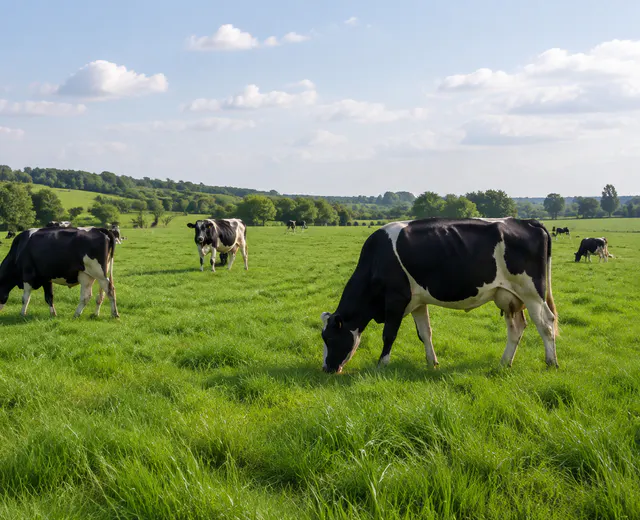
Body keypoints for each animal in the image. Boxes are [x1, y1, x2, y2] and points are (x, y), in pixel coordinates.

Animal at [320, 217, 558, 374]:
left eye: (329, 338)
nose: (326, 368)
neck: (377, 260)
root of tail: (527, 221)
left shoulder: (396, 299)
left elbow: (389, 334)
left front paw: (382, 364)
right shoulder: (417, 302)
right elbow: (425, 333)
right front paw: (431, 362)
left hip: (532, 293)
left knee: (547, 323)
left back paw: (551, 362)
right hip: (510, 297)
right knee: (516, 328)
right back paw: (504, 363)